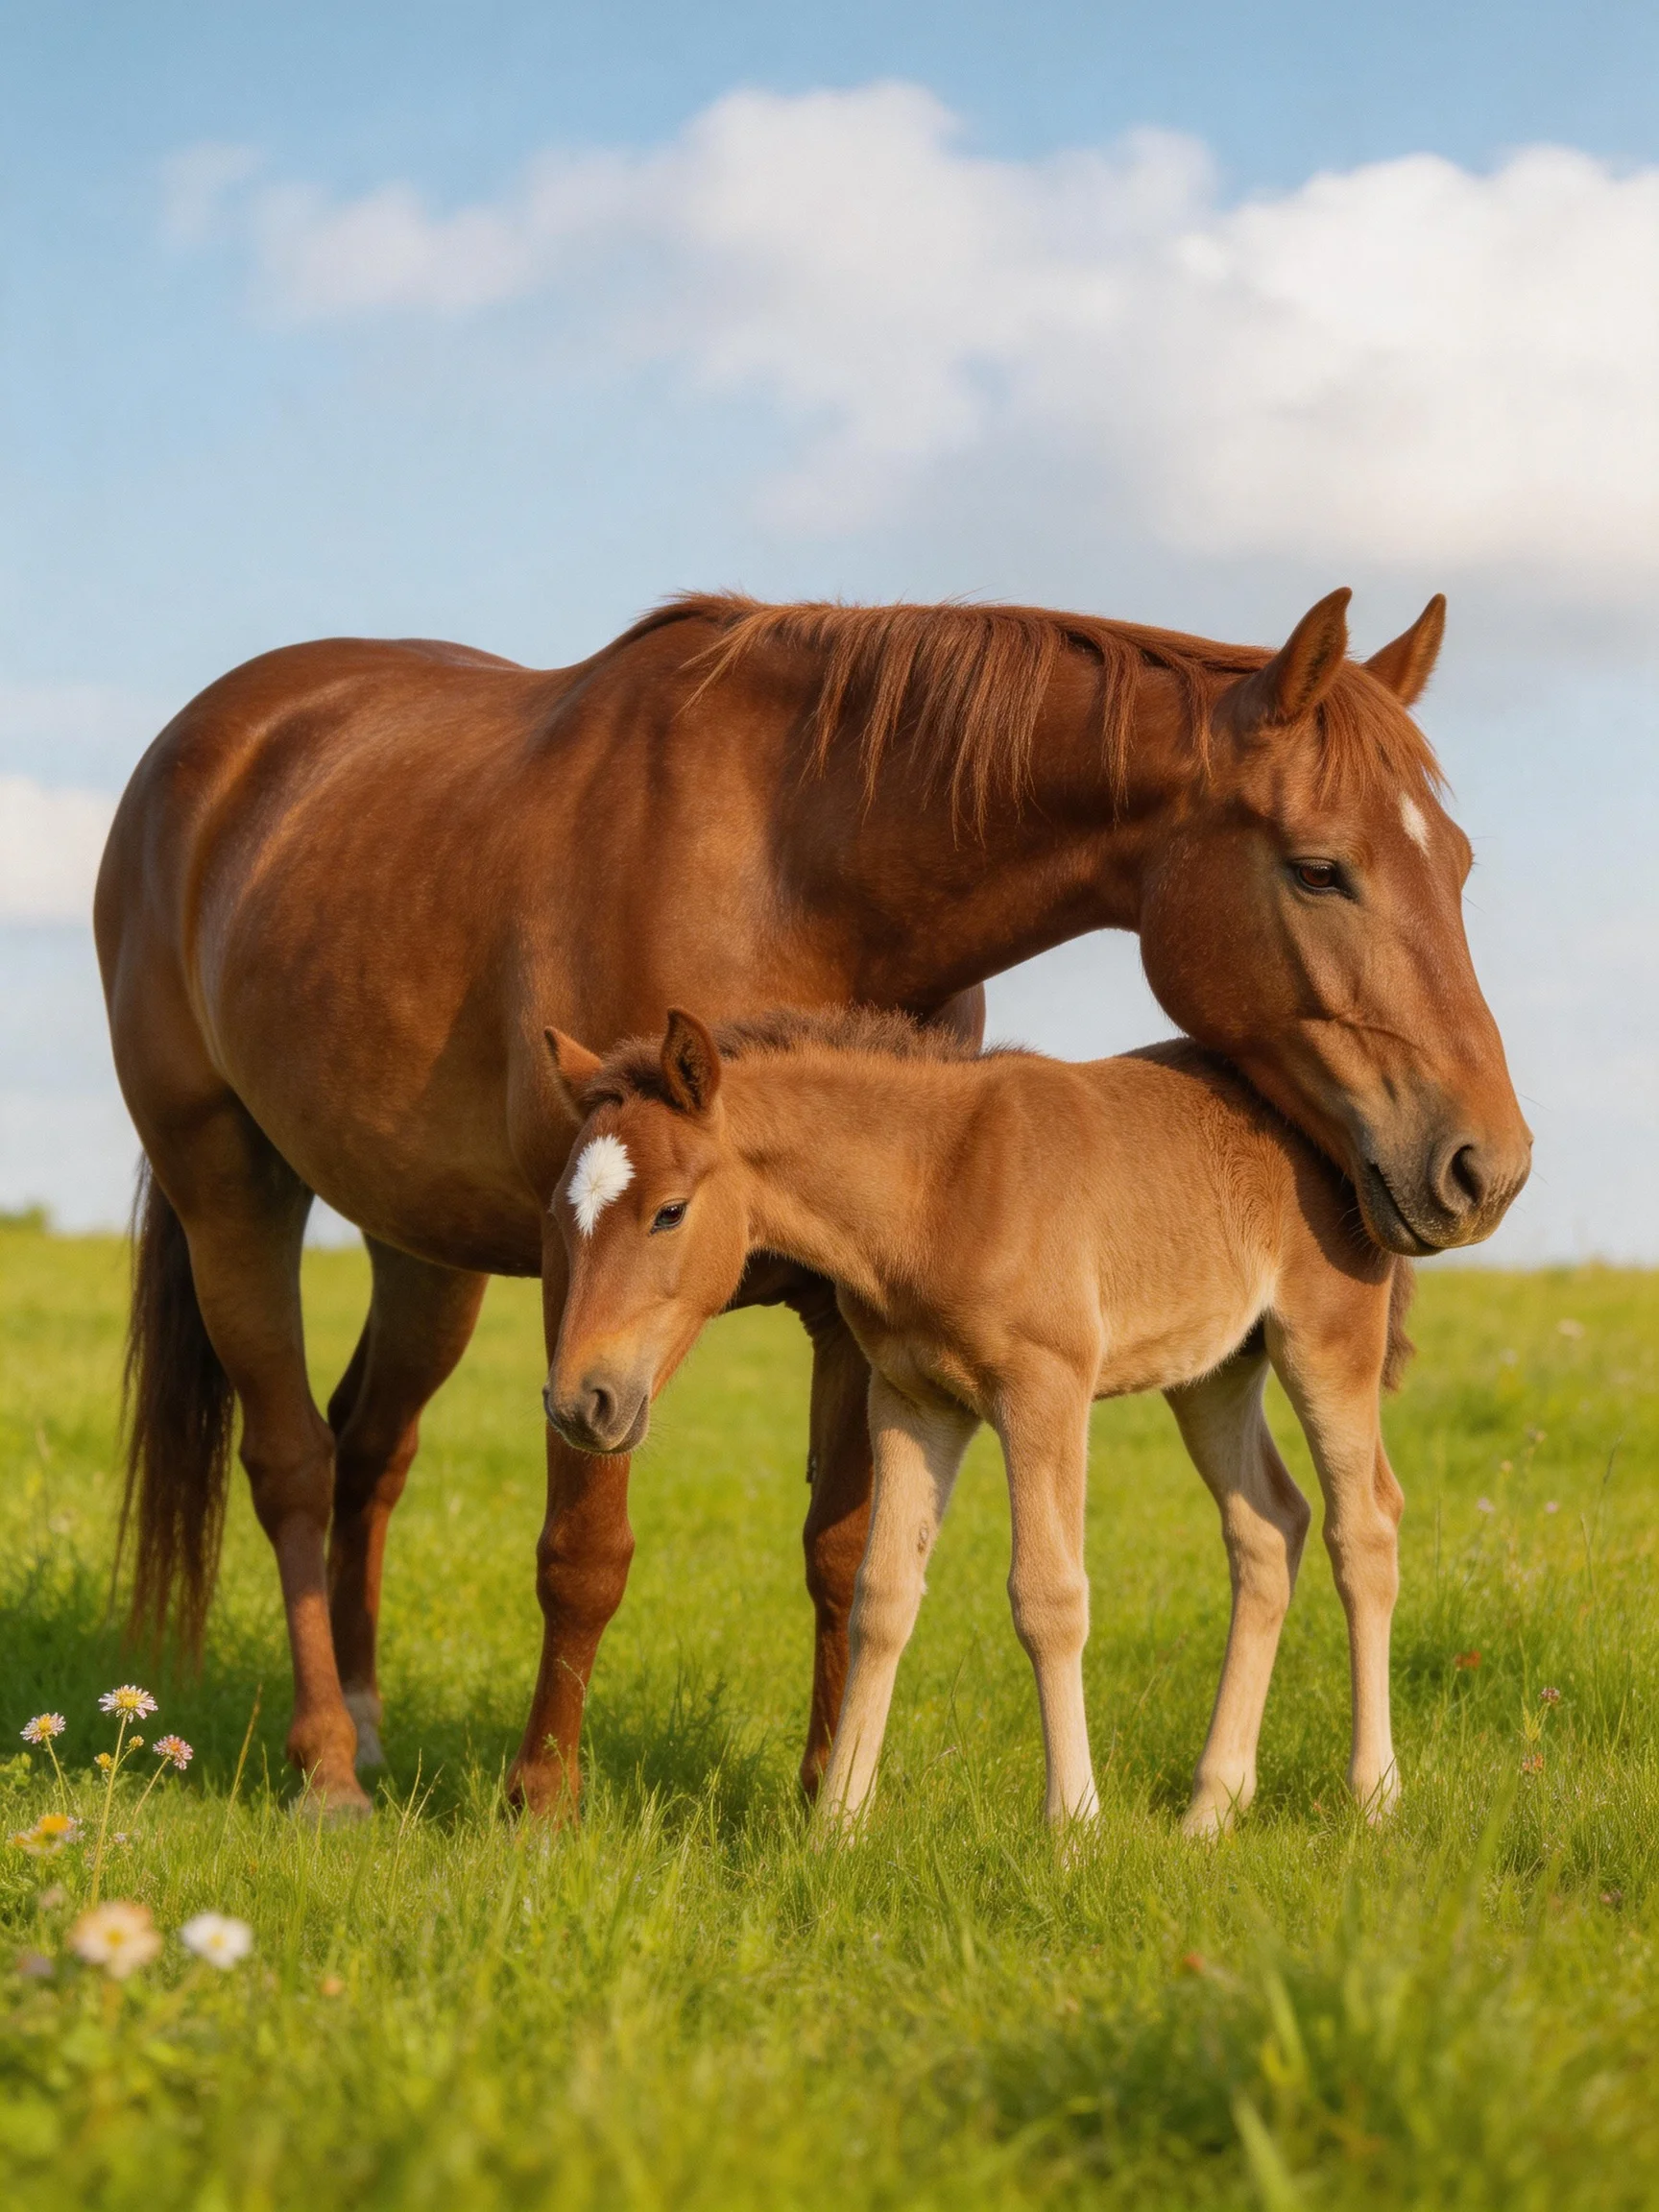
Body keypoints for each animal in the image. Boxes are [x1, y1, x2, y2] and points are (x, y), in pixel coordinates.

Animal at [543, 1007, 1418, 1835]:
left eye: (669, 1212)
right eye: (562, 1214)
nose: (581, 1402)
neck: (937, 1184)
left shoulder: (1045, 1388)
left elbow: (1049, 1598)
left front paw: (1073, 1828)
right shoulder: (910, 1400)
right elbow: (882, 1596)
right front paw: (837, 1829)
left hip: (1326, 1341)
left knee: (1364, 1527)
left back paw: (1373, 1796)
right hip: (1214, 1370)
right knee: (1269, 1526)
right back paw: (1211, 1810)